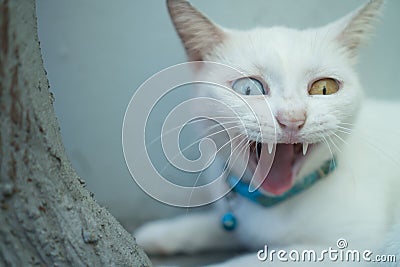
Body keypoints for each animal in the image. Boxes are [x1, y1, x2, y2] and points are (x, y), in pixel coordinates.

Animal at [134, 1, 400, 266]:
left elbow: (249, 260)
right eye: (249, 88)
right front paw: (159, 234)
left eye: (325, 88)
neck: (271, 204)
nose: (292, 118)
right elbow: (219, 226)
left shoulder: (355, 247)